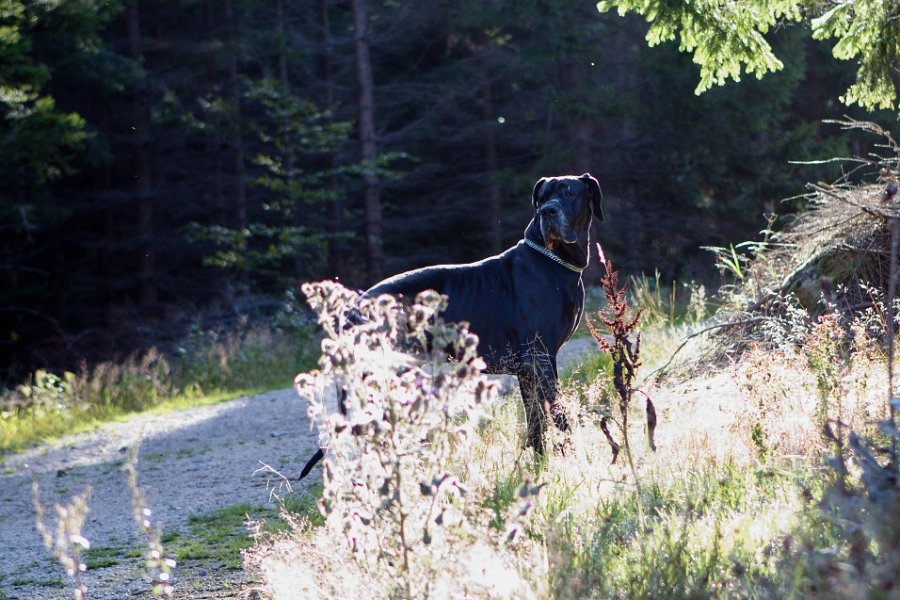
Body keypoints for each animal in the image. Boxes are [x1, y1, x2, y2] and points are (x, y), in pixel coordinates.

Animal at [298, 172, 600, 478]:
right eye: (542, 197)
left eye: (567, 192)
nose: (547, 211)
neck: (553, 262)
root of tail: (351, 312)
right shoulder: (539, 358)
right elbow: (559, 414)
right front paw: (574, 462)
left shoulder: (531, 368)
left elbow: (536, 421)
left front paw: (540, 467)